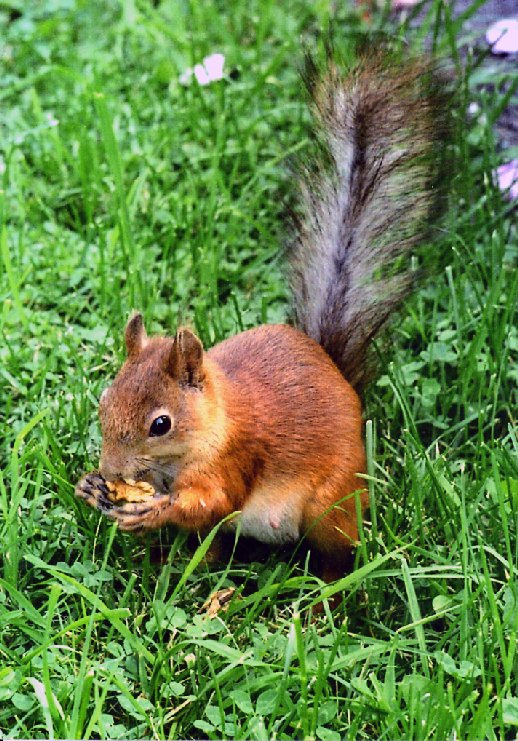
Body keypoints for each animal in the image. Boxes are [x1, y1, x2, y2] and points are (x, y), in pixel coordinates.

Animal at [75, 48, 451, 584]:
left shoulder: (237, 458)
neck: (213, 425)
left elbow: (211, 502)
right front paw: (89, 487)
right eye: (105, 402)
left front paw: (154, 510)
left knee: (337, 557)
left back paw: (327, 596)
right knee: (211, 547)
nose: (110, 471)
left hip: (328, 507)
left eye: (161, 424)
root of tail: (339, 374)